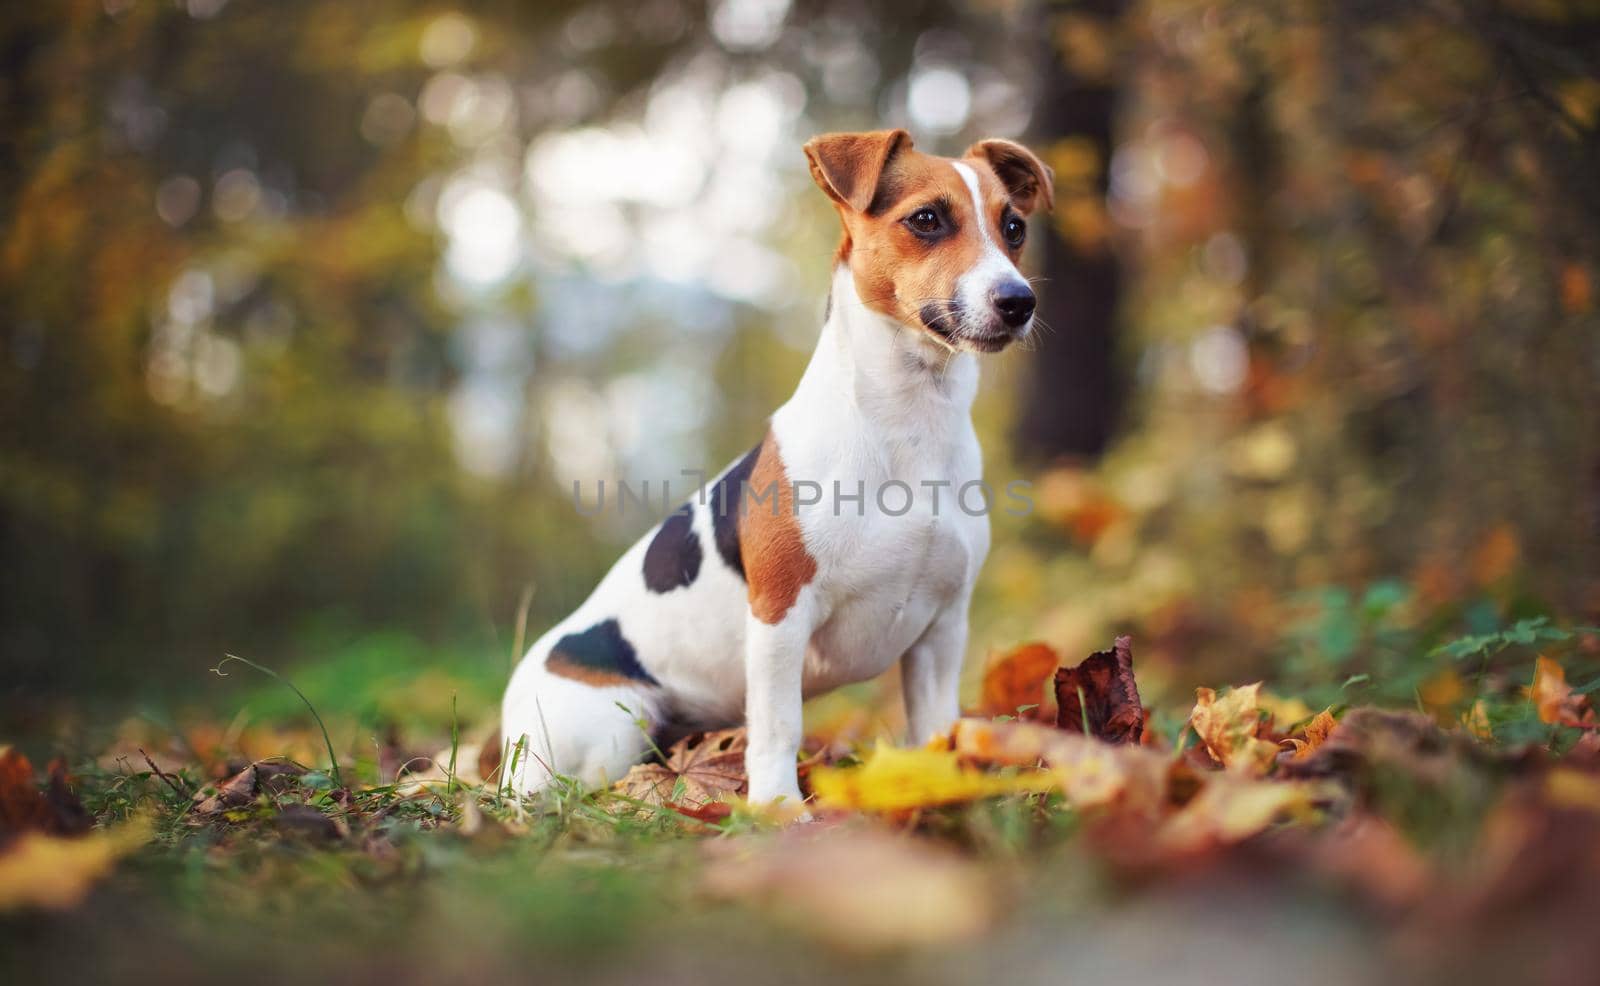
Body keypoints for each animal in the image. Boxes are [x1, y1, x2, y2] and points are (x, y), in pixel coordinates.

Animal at [499, 128, 1049, 809]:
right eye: (926, 219)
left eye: (1014, 227)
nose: (1018, 301)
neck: (910, 422)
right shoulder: (780, 616)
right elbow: (779, 724)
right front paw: (778, 810)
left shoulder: (942, 630)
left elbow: (936, 726)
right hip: (612, 727)